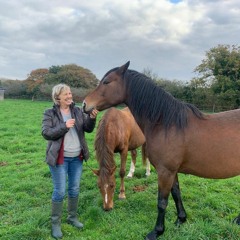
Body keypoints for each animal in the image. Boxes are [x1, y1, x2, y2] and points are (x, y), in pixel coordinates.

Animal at [83, 62, 240, 240]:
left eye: (107, 82)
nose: (85, 104)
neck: (166, 123)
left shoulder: (165, 171)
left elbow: (162, 202)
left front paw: (157, 231)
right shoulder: (172, 171)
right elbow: (176, 193)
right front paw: (181, 219)